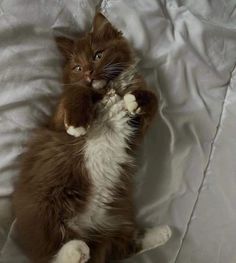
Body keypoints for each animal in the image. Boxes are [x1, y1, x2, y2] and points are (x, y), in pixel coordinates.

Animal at [12, 12, 171, 263]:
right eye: (77, 67)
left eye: (98, 55)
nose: (88, 73)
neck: (109, 89)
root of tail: (85, 229)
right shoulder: (57, 119)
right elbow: (77, 91)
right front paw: (78, 124)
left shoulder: (136, 131)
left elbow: (153, 99)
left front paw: (135, 99)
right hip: (46, 209)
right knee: (53, 253)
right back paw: (75, 251)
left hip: (117, 220)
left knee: (124, 246)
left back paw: (161, 233)